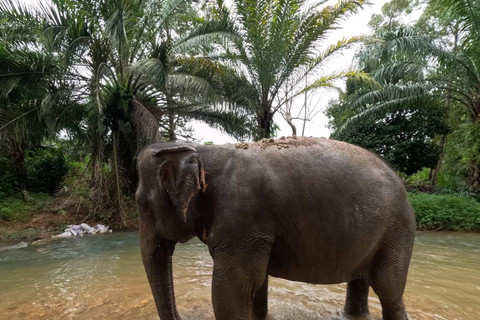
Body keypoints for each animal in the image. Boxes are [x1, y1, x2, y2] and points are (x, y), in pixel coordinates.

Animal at [136, 137, 416, 320]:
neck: (205, 152)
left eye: (140, 204)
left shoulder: (243, 218)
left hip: (397, 231)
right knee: (359, 282)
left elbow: (230, 289)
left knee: (389, 289)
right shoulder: (254, 233)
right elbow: (256, 284)